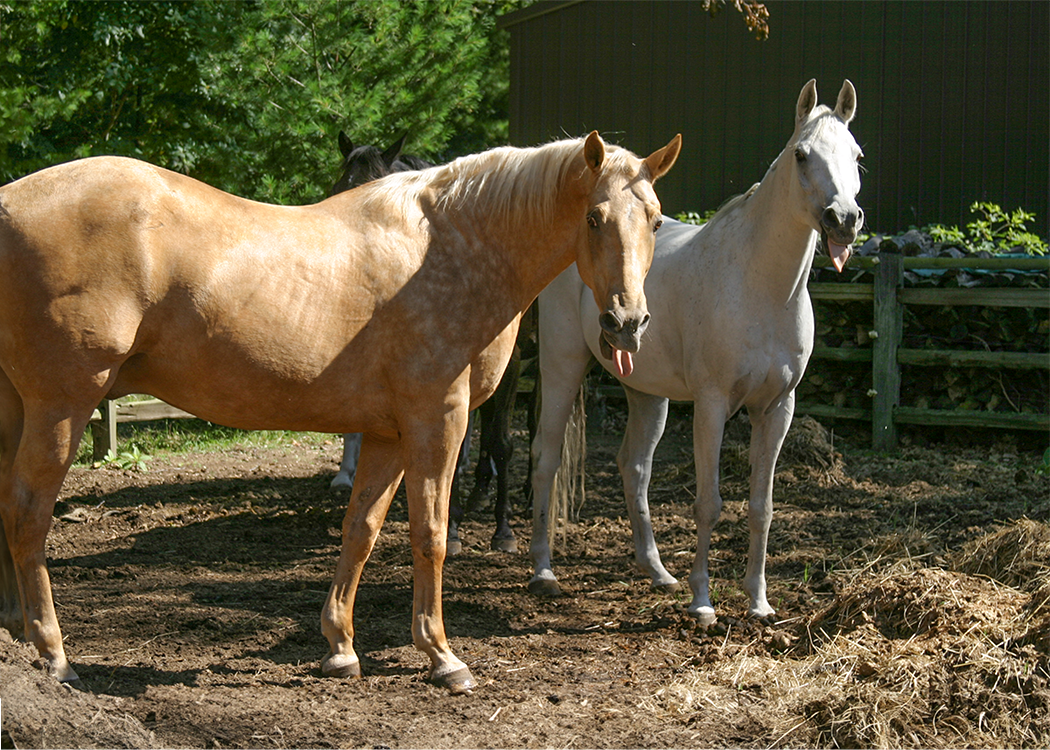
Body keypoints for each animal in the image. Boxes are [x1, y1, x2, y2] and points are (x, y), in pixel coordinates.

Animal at [528, 79, 862, 626]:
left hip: (646, 392)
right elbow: (708, 503)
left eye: (857, 155)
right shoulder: (712, 404)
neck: (760, 286)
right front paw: (702, 603)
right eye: (801, 154)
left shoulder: (777, 409)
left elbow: (762, 507)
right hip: (562, 367)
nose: (844, 220)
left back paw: (657, 572)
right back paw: (543, 573)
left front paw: (759, 602)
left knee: (634, 468)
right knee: (546, 456)